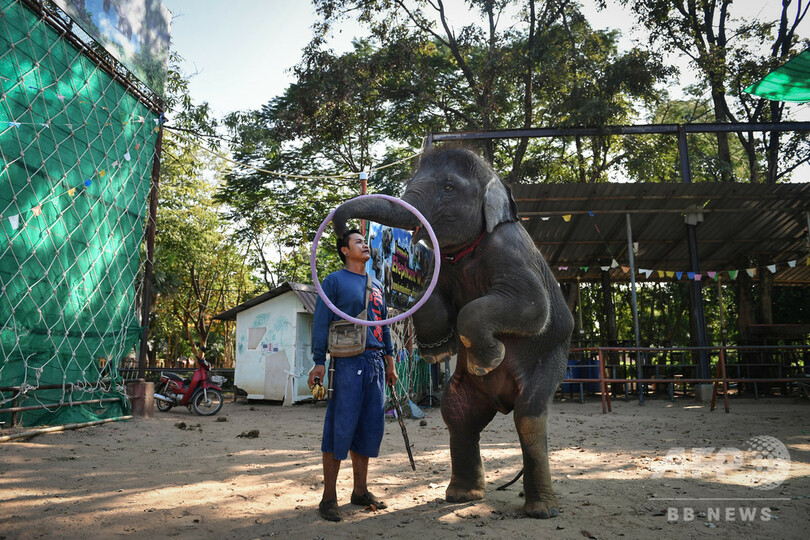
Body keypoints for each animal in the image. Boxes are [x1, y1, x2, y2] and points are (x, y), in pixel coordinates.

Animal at [332, 148, 572, 520]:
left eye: (448, 187)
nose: (346, 235)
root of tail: (501, 402)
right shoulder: (438, 264)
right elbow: (428, 298)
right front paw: (439, 350)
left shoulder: (512, 251)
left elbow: (533, 308)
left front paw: (490, 358)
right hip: (468, 395)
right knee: (457, 416)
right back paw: (461, 495)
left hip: (552, 360)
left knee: (529, 415)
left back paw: (542, 510)